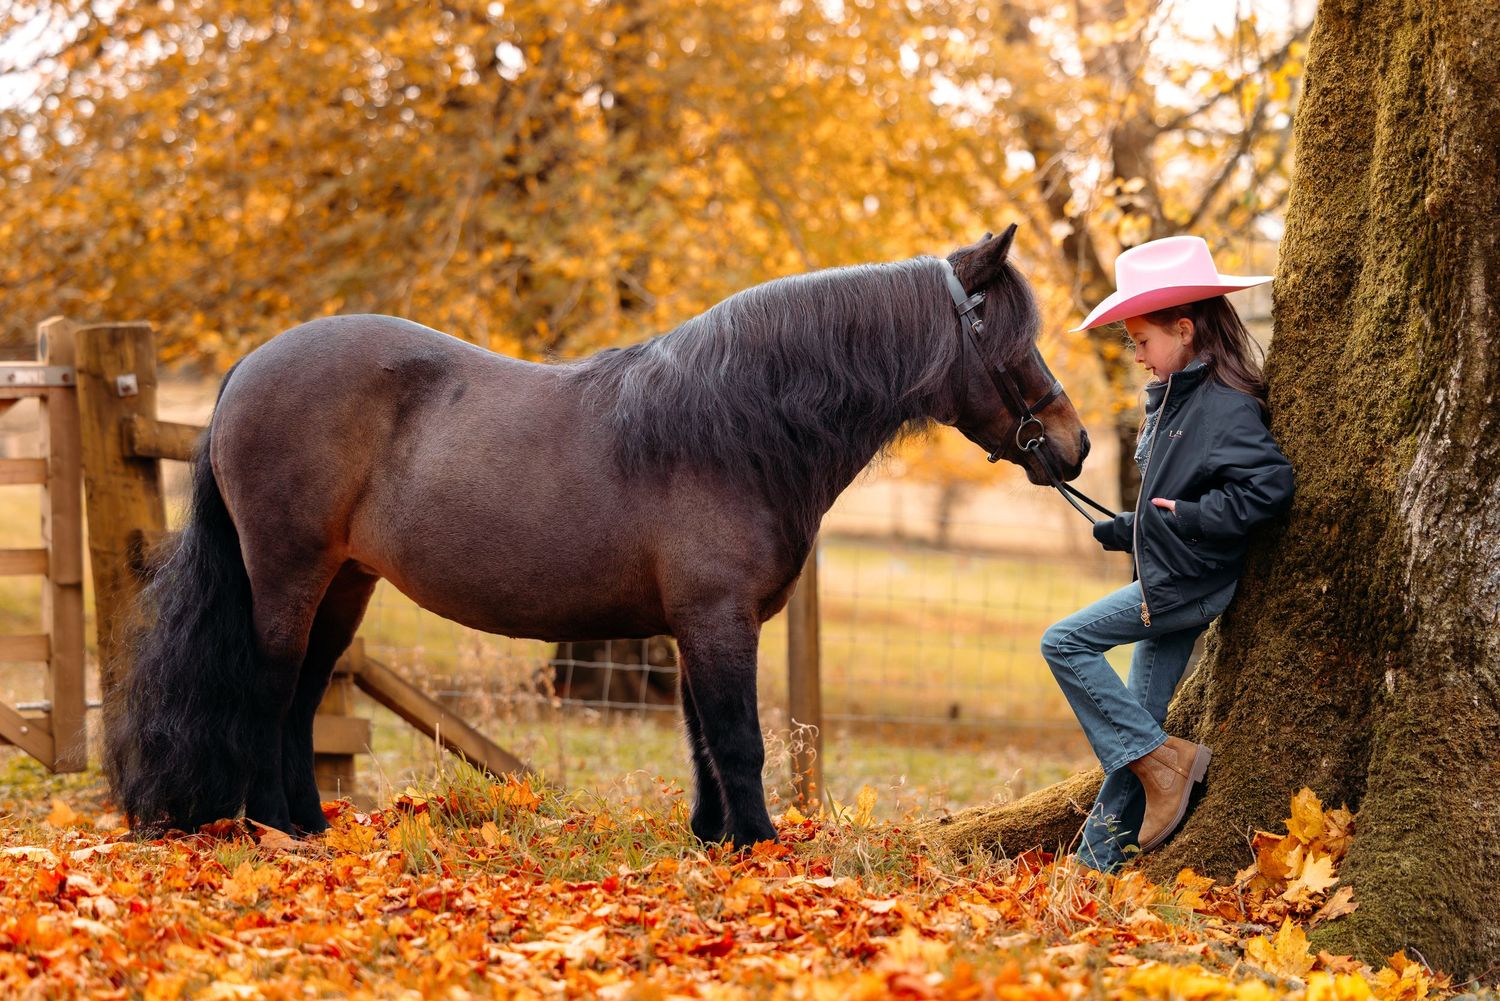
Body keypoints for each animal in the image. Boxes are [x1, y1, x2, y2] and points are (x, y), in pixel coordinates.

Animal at [103, 225, 1090, 847]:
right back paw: (275, 828)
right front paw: (762, 845)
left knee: (307, 694)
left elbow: (701, 737)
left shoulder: (695, 624)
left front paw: (716, 839)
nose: (1074, 442)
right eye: (1011, 338)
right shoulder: (718, 618)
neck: (735, 427)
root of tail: (248, 368)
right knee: (270, 688)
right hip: (290, 572)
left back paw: (309, 823)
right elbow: (739, 737)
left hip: (345, 581)